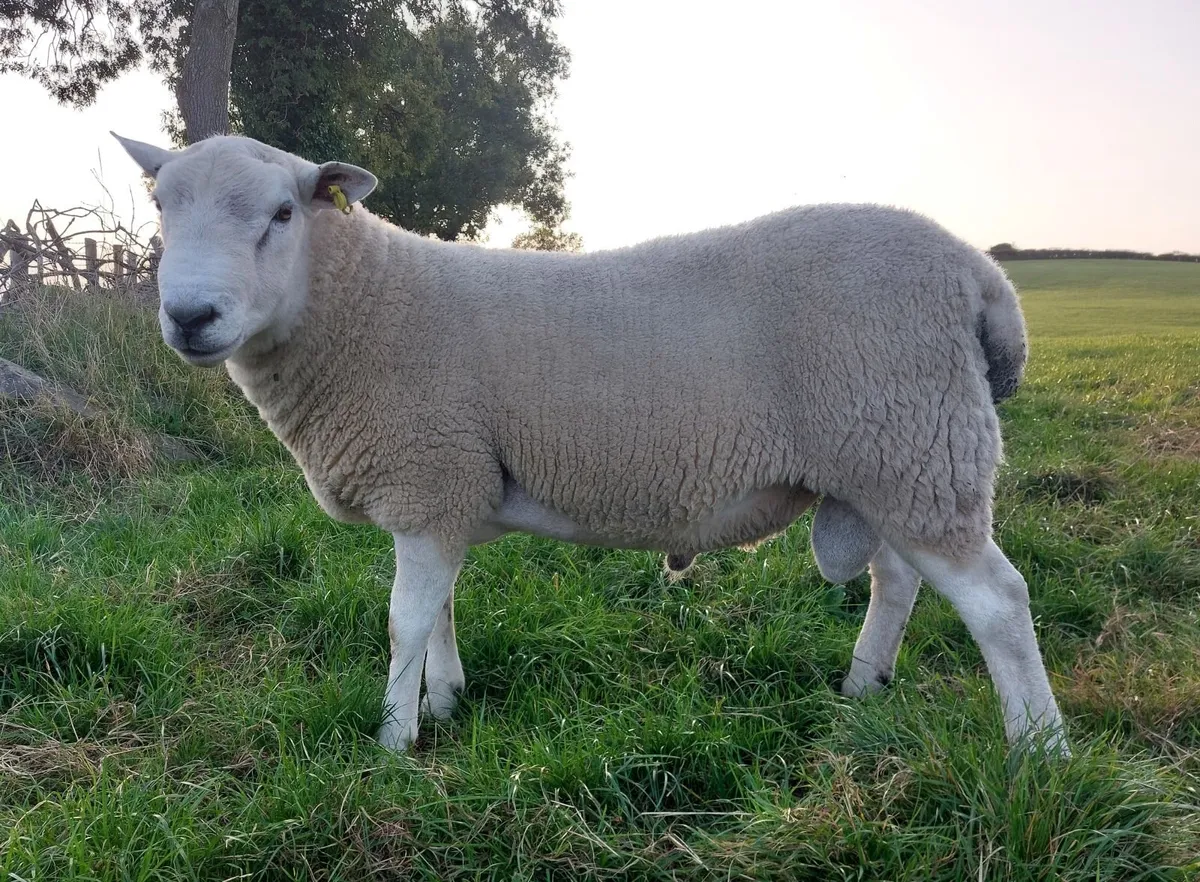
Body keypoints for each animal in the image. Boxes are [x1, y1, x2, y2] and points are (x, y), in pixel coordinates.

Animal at [112, 131, 1068, 757]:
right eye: (159, 207)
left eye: (282, 213)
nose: (190, 315)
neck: (361, 305)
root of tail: (983, 276)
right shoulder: (448, 489)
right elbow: (442, 610)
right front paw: (448, 702)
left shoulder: (426, 476)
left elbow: (403, 621)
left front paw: (392, 741)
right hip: (896, 457)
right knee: (899, 581)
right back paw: (864, 688)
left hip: (914, 443)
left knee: (999, 604)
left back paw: (1039, 753)